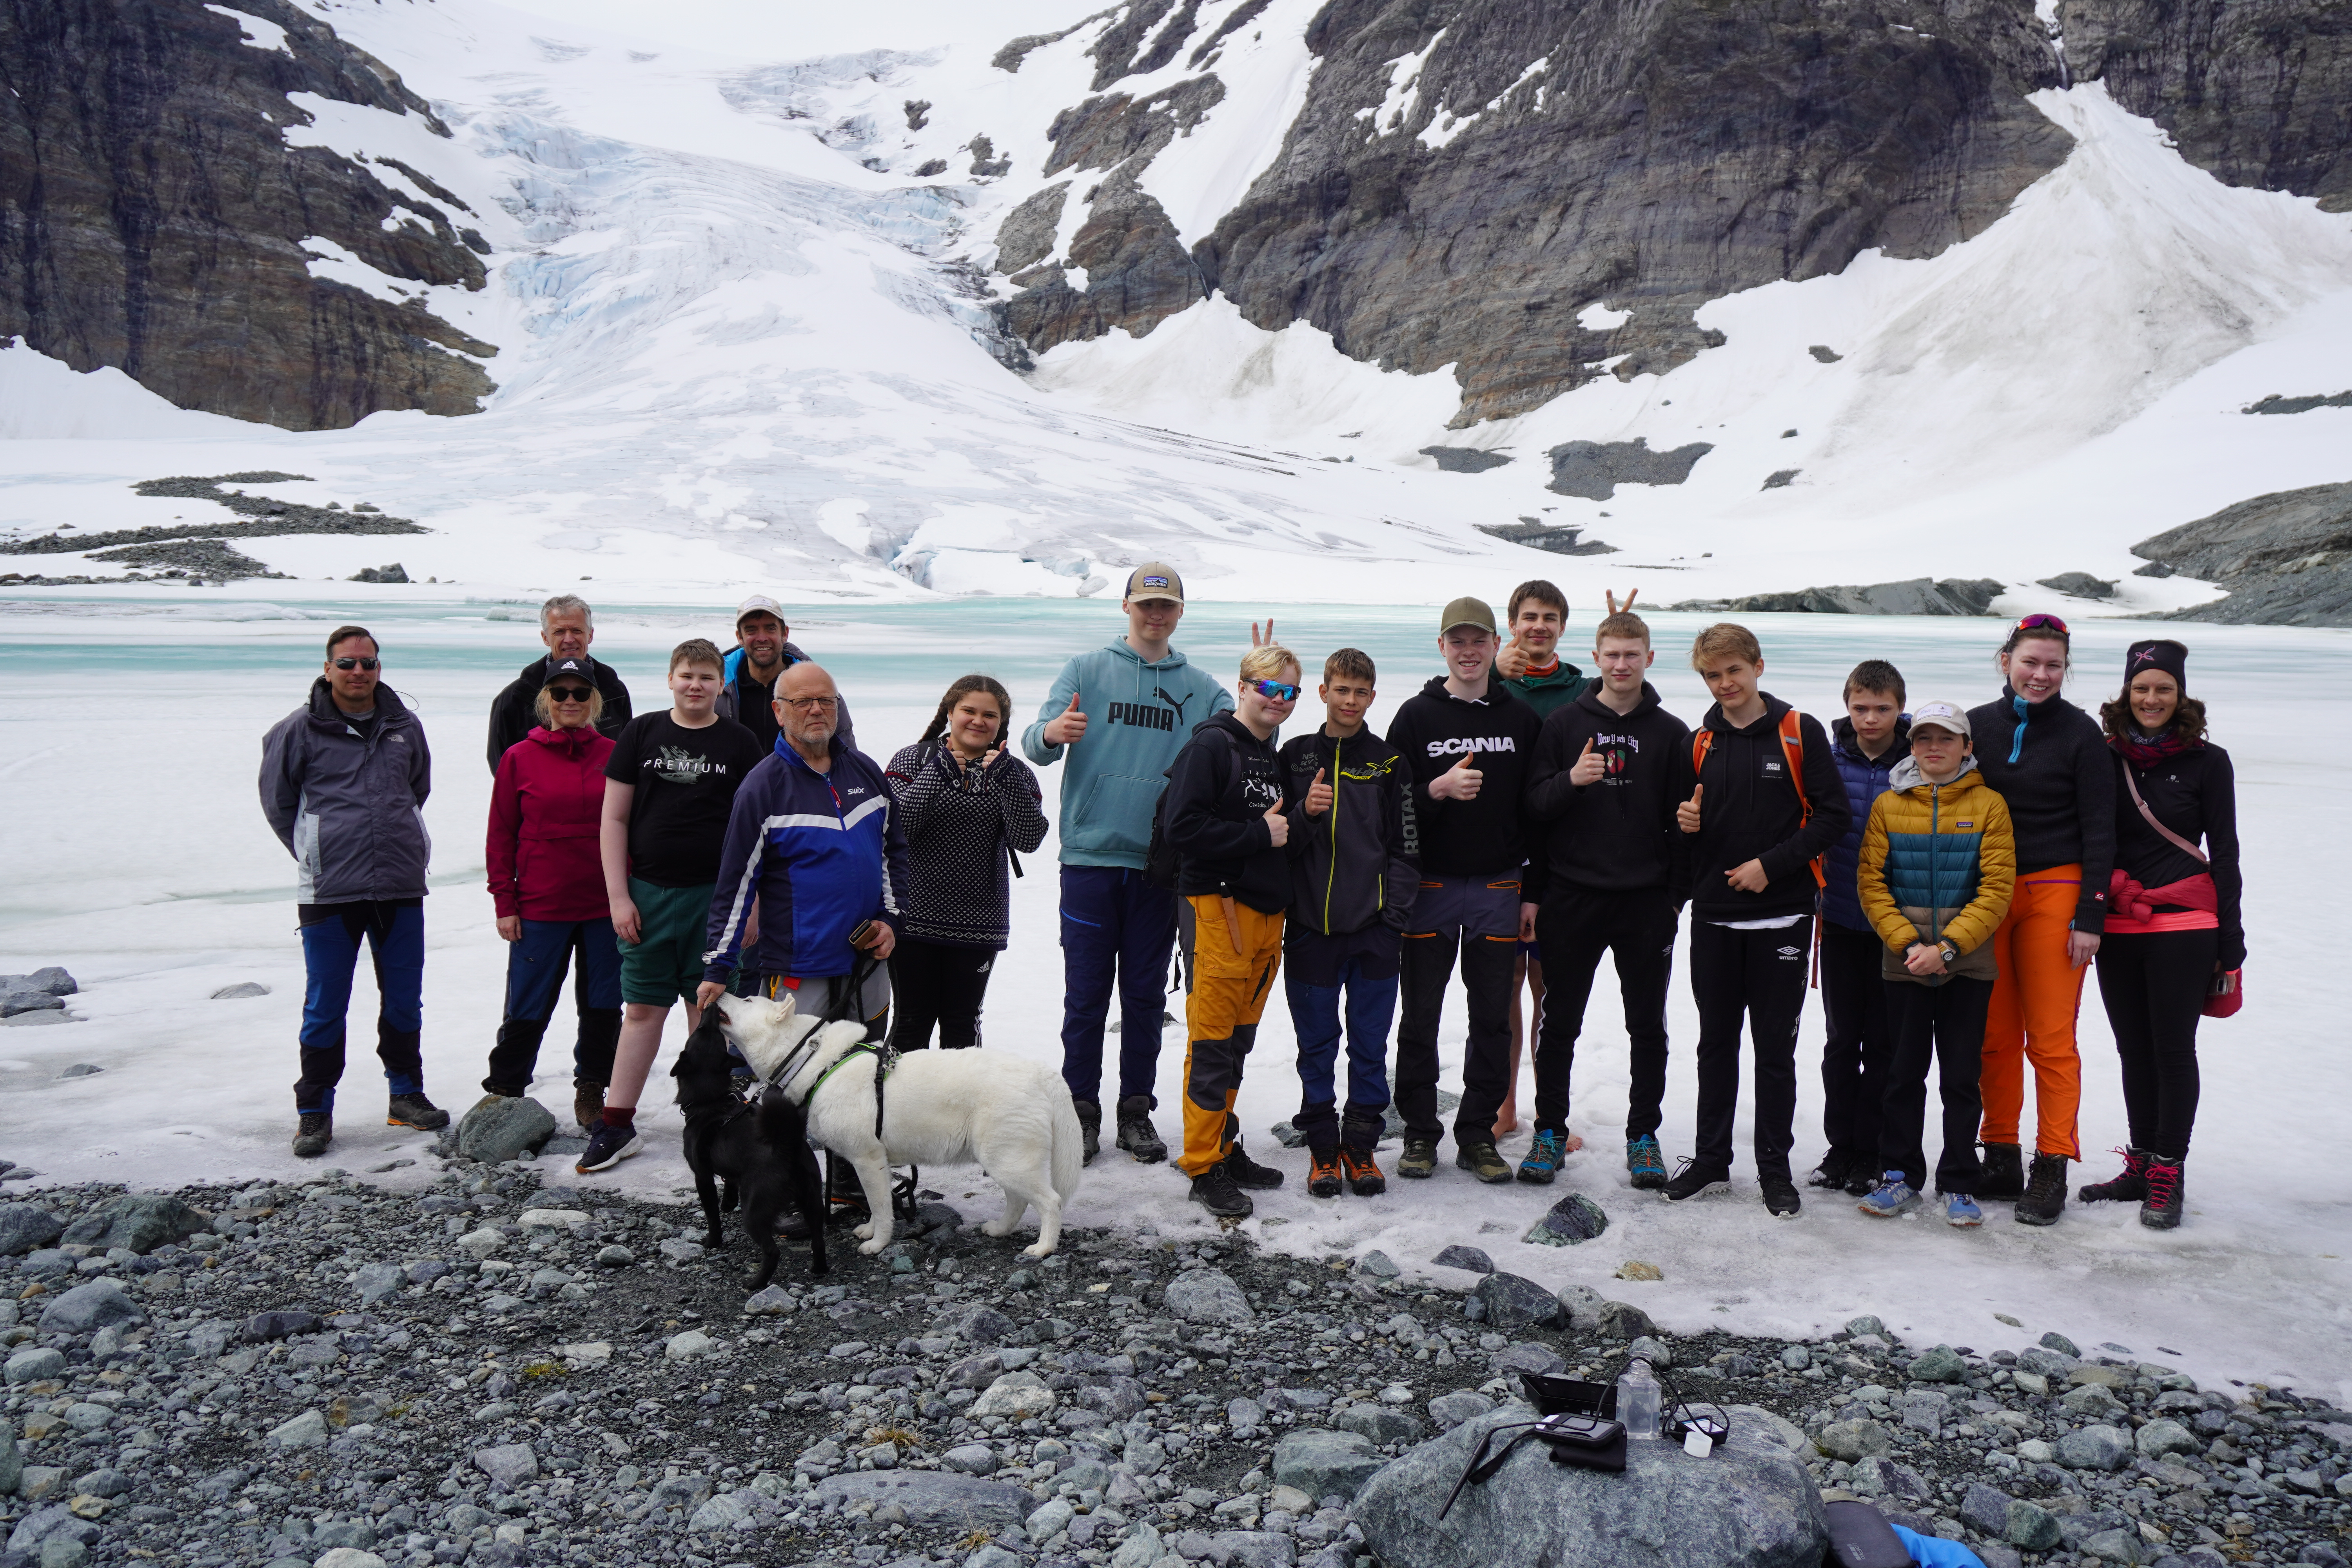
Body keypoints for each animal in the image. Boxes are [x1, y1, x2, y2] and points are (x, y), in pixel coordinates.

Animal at [673, 1020, 828, 1288]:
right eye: (709, 1033)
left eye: (699, 1032)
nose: (710, 1015)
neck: (712, 1101)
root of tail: (787, 1147)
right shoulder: (731, 1171)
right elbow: (729, 1185)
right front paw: (728, 1203)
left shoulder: (702, 1177)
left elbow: (712, 1215)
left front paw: (711, 1242)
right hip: (812, 1202)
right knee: (818, 1240)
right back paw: (819, 1269)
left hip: (754, 1213)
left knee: (772, 1251)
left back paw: (756, 1284)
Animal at [710, 992, 1087, 1260]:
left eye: (747, 1000)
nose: (716, 992)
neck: (817, 1060)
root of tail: (1043, 1072)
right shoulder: (871, 1163)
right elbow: (877, 1204)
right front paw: (870, 1231)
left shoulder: (868, 1158)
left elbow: (881, 1205)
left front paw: (878, 1243)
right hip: (1005, 1160)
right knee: (1019, 1200)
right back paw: (1001, 1230)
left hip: (1006, 1160)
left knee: (1050, 1201)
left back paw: (1044, 1248)